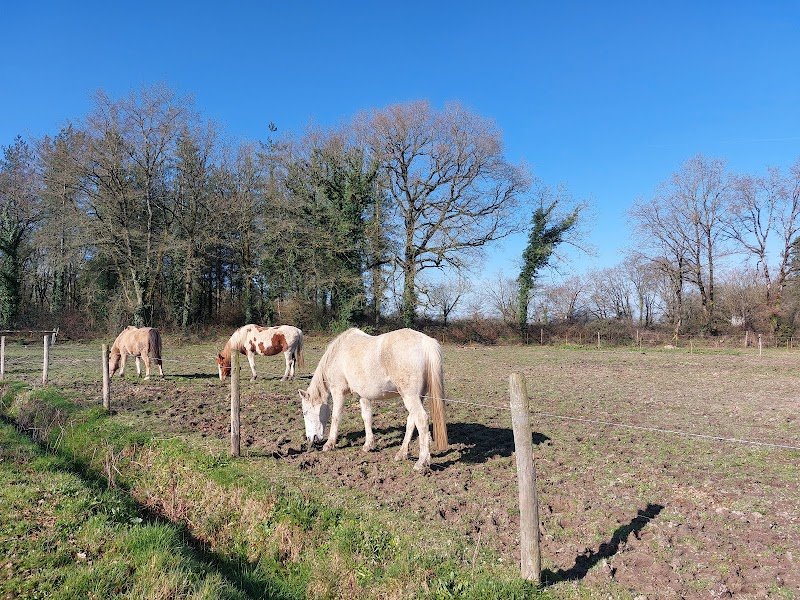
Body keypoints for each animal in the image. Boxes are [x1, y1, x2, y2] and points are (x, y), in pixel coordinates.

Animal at [298, 327, 448, 472]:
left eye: (305, 413)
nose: (310, 439)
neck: (338, 353)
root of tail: (426, 342)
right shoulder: (363, 395)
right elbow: (367, 417)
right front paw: (368, 445)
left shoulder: (338, 391)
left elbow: (336, 417)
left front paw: (329, 444)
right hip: (418, 396)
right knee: (412, 421)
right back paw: (402, 454)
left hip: (410, 396)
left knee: (421, 420)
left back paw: (421, 462)